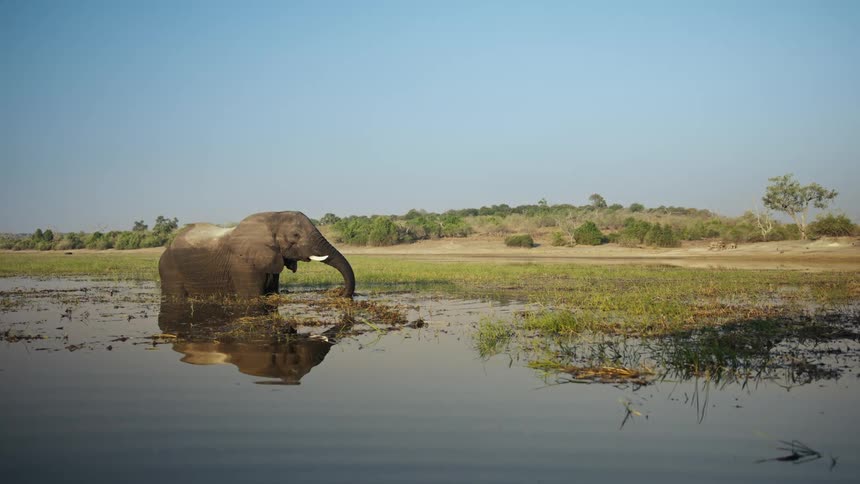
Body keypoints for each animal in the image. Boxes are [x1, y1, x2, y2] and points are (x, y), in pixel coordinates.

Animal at [159, 211, 354, 298]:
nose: (340, 294)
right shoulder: (242, 265)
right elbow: (253, 297)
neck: (272, 217)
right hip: (169, 270)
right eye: (296, 235)